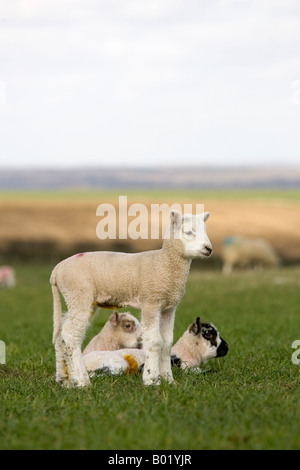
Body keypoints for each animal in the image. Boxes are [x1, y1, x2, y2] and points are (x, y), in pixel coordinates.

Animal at [50, 211, 212, 388]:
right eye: (189, 232)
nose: (209, 249)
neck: (164, 263)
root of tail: (57, 270)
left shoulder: (169, 308)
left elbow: (167, 343)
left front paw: (169, 381)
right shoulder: (151, 302)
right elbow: (155, 342)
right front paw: (152, 380)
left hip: (81, 300)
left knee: (61, 336)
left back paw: (65, 380)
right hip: (79, 295)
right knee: (71, 336)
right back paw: (83, 382)